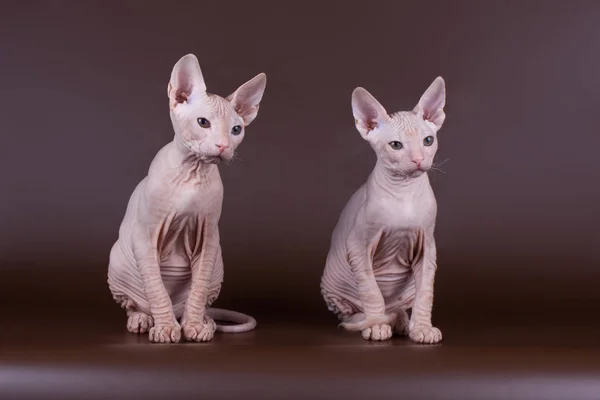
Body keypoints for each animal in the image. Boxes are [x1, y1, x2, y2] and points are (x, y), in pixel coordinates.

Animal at [108, 53, 268, 344]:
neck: (193, 171)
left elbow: (198, 289)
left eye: (236, 130)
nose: (223, 146)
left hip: (218, 265)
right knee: (136, 303)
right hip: (118, 263)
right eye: (203, 123)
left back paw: (203, 321)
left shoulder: (209, 237)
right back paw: (143, 319)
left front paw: (194, 326)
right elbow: (156, 287)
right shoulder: (145, 235)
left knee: (200, 300)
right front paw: (165, 328)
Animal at [322, 77, 448, 344]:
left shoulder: (428, 246)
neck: (405, 193)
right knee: (353, 314)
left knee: (400, 306)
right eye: (396, 145)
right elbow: (371, 292)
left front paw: (422, 328)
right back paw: (377, 321)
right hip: (334, 285)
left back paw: (402, 320)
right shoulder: (358, 245)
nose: (419, 159)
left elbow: (425, 293)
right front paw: (377, 325)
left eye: (428, 140)